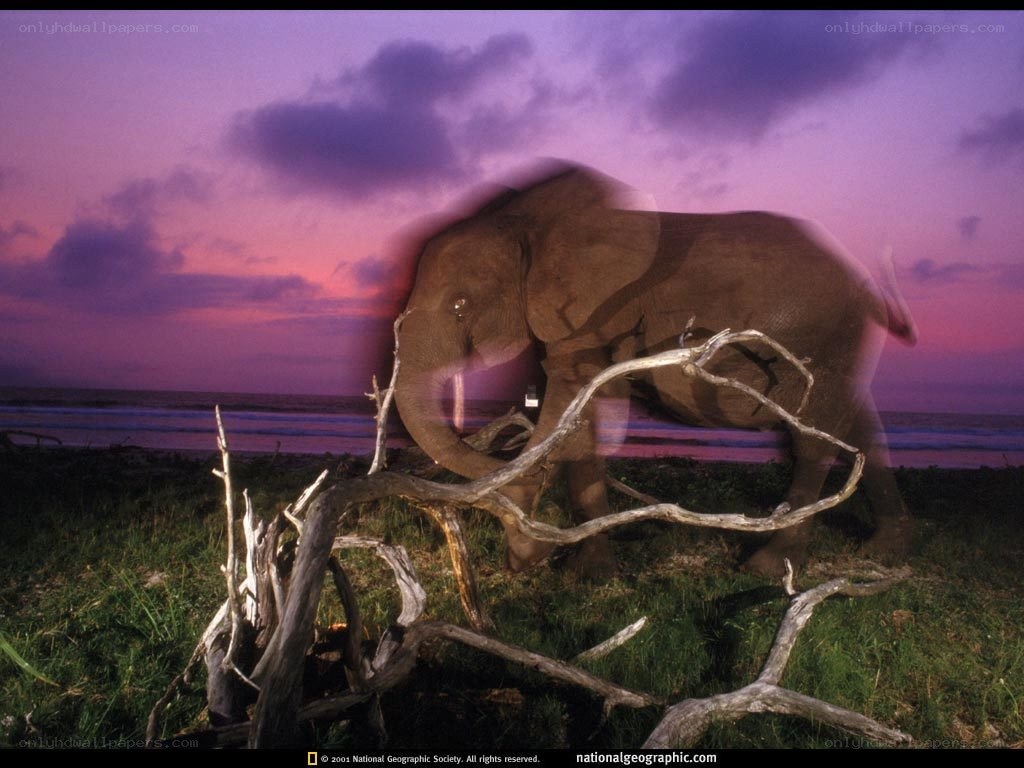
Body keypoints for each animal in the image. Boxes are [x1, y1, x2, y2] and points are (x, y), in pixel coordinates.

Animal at [393, 162, 916, 579]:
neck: (522, 223)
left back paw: (766, 568)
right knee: (862, 430)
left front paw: (569, 565)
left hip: (824, 342)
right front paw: (570, 566)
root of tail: (866, 282)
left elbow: (572, 411)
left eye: (460, 306)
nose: (523, 560)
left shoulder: (593, 315)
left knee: (814, 442)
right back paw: (884, 551)